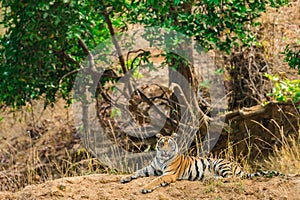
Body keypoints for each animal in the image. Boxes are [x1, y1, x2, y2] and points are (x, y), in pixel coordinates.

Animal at [120, 133, 282, 194]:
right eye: (161, 143)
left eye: (170, 144)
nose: (165, 151)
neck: (161, 159)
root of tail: (239, 166)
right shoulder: (151, 168)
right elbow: (137, 171)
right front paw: (125, 178)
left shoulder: (169, 174)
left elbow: (156, 180)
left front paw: (146, 188)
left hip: (220, 163)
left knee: (233, 177)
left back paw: (211, 179)